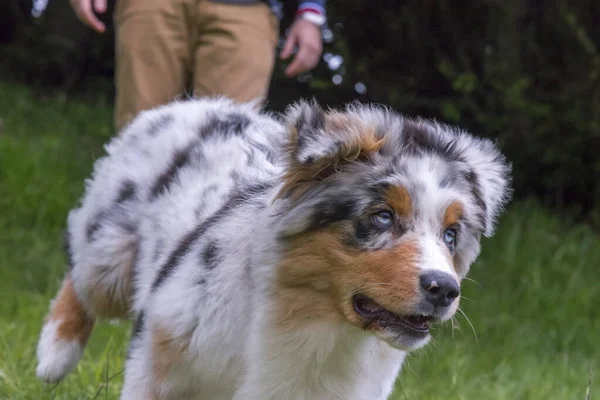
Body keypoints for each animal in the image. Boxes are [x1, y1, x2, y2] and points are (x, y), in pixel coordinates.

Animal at [34, 97, 510, 400]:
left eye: (451, 235)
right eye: (382, 217)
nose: (444, 289)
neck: (310, 322)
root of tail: (194, 104)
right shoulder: (156, 362)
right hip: (111, 254)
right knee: (80, 272)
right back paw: (54, 355)